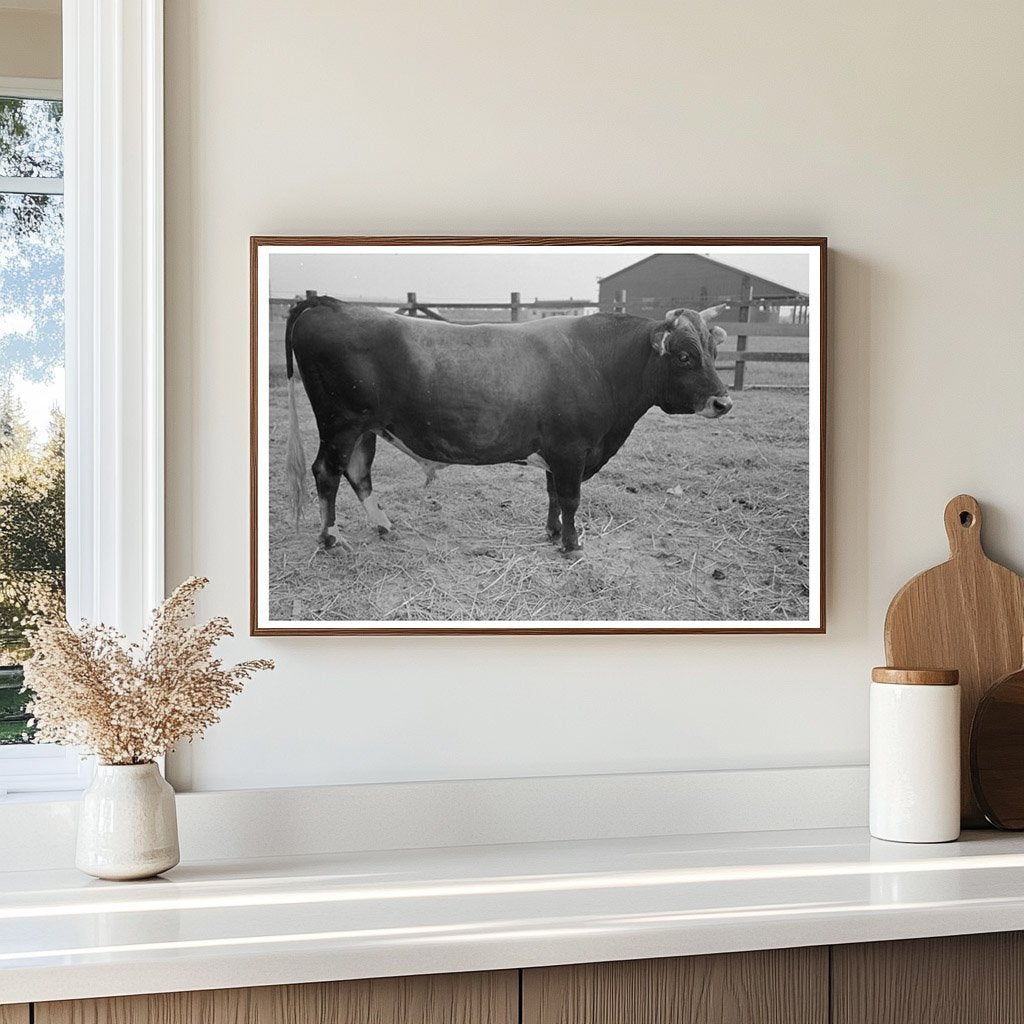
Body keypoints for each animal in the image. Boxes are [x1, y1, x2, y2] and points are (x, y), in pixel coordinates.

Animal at [284, 296, 733, 555]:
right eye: (684, 357)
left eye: (713, 351)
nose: (724, 402)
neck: (599, 362)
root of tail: (328, 303)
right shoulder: (571, 450)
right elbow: (570, 498)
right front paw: (572, 544)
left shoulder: (557, 452)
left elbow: (553, 495)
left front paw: (554, 533)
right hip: (339, 423)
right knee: (327, 472)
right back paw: (329, 537)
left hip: (365, 428)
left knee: (358, 473)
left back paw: (383, 526)